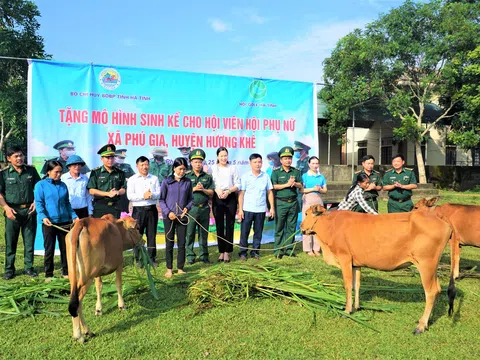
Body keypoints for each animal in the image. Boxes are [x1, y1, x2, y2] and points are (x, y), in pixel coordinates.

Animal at [302, 205, 456, 334]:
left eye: (306, 213)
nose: (302, 227)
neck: (330, 225)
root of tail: (437, 215)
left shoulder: (344, 258)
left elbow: (347, 285)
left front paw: (347, 310)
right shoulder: (355, 263)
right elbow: (356, 284)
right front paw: (356, 307)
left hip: (426, 264)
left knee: (431, 291)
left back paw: (421, 325)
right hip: (432, 267)